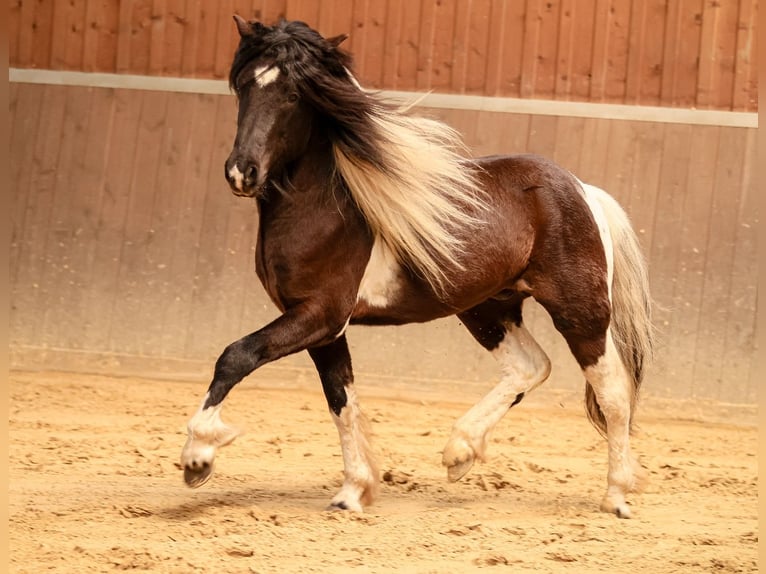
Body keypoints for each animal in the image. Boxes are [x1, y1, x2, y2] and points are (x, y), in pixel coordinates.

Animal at [180, 16, 654, 519]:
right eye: (245, 86)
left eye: (293, 94)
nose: (242, 172)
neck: (327, 211)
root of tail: (584, 190)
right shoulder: (325, 329)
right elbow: (340, 400)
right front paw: (353, 492)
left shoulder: (319, 314)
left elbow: (236, 356)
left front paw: (198, 457)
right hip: (488, 309)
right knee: (530, 367)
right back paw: (459, 453)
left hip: (580, 312)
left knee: (613, 393)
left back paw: (616, 496)